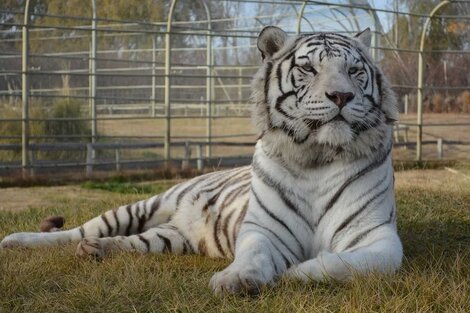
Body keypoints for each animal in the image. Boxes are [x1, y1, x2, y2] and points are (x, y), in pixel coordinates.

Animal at [1, 26, 402, 294]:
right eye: (309, 70)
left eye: (354, 71)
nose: (341, 96)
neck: (317, 156)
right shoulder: (264, 230)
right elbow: (253, 256)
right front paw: (235, 279)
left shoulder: (378, 239)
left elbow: (351, 265)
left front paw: (296, 272)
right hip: (143, 205)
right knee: (75, 231)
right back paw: (17, 241)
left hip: (168, 238)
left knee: (127, 242)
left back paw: (96, 251)